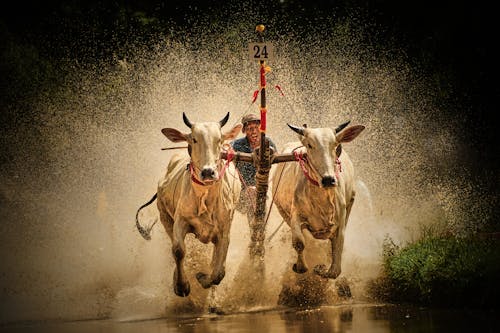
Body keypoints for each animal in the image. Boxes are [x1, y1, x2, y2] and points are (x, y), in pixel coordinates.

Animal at [135, 112, 240, 296]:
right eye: (194, 139)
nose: (208, 172)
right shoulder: (180, 221)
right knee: (172, 243)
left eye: (219, 139)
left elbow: (219, 273)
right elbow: (178, 250)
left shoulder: (224, 231)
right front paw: (181, 286)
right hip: (164, 216)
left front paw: (203, 278)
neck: (205, 199)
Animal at [274, 122, 364, 278]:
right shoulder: (295, 214)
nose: (328, 179)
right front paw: (301, 266)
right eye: (309, 145)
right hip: (282, 211)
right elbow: (299, 242)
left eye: (335, 144)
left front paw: (321, 268)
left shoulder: (340, 221)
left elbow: (335, 268)